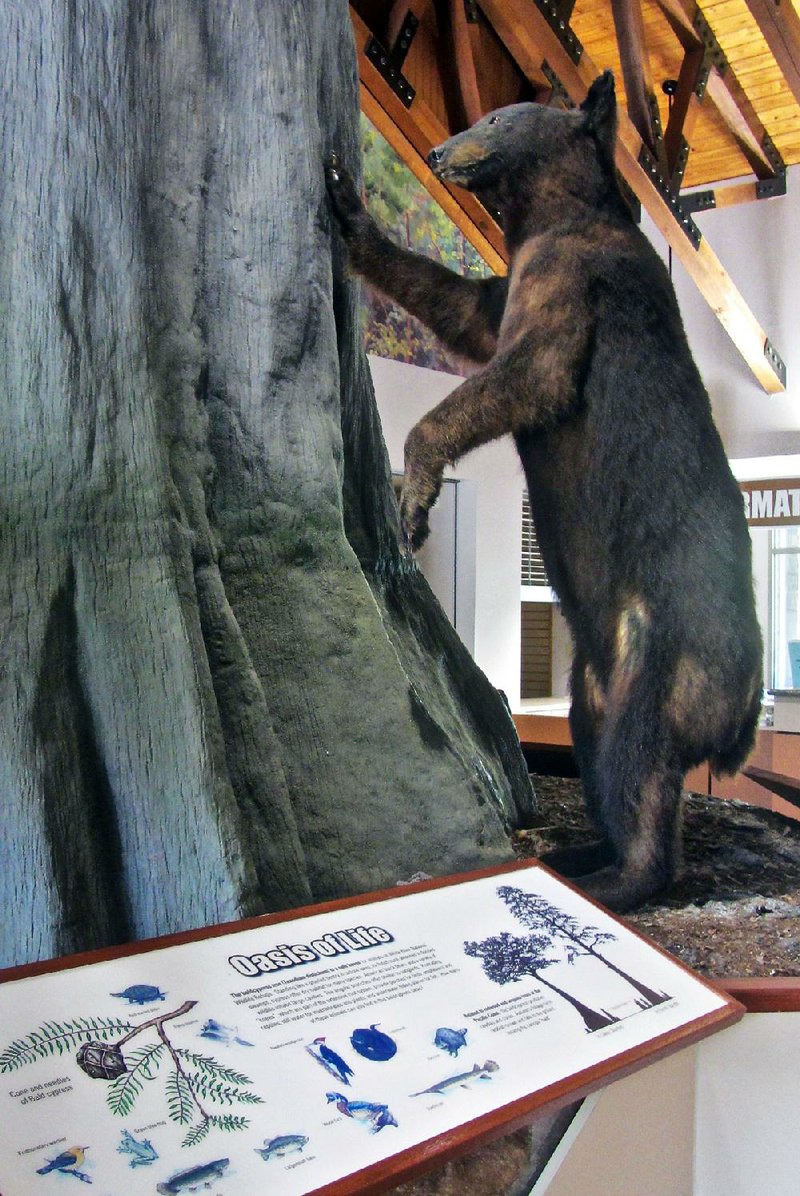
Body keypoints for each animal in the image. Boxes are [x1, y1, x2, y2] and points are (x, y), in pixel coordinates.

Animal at [325, 72, 760, 913]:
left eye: (497, 115)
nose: (439, 149)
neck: (552, 216)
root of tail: (745, 720)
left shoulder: (576, 276)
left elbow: (533, 371)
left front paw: (412, 501)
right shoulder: (514, 279)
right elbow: (465, 310)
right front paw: (347, 211)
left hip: (666, 646)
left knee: (639, 760)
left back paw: (620, 878)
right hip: (596, 671)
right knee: (600, 745)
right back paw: (584, 848)